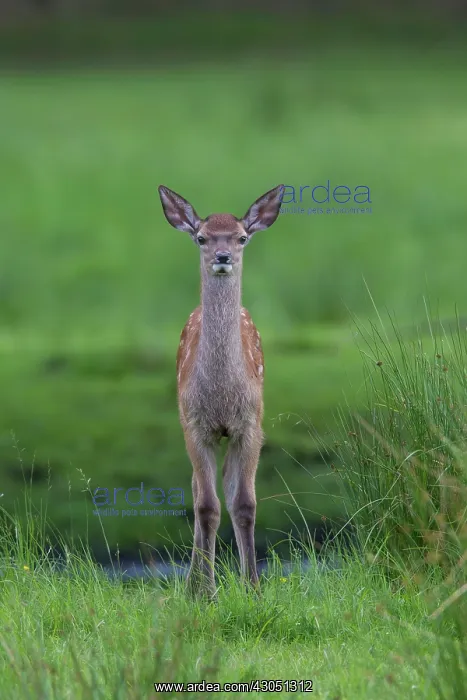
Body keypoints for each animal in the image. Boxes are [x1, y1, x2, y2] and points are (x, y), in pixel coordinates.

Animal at [158, 184, 284, 597]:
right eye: (201, 237)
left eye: (242, 236)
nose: (223, 256)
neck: (223, 397)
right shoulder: (196, 426)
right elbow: (206, 507)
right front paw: (208, 593)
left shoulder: (250, 425)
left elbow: (244, 504)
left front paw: (254, 589)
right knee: (199, 491)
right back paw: (192, 584)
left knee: (224, 487)